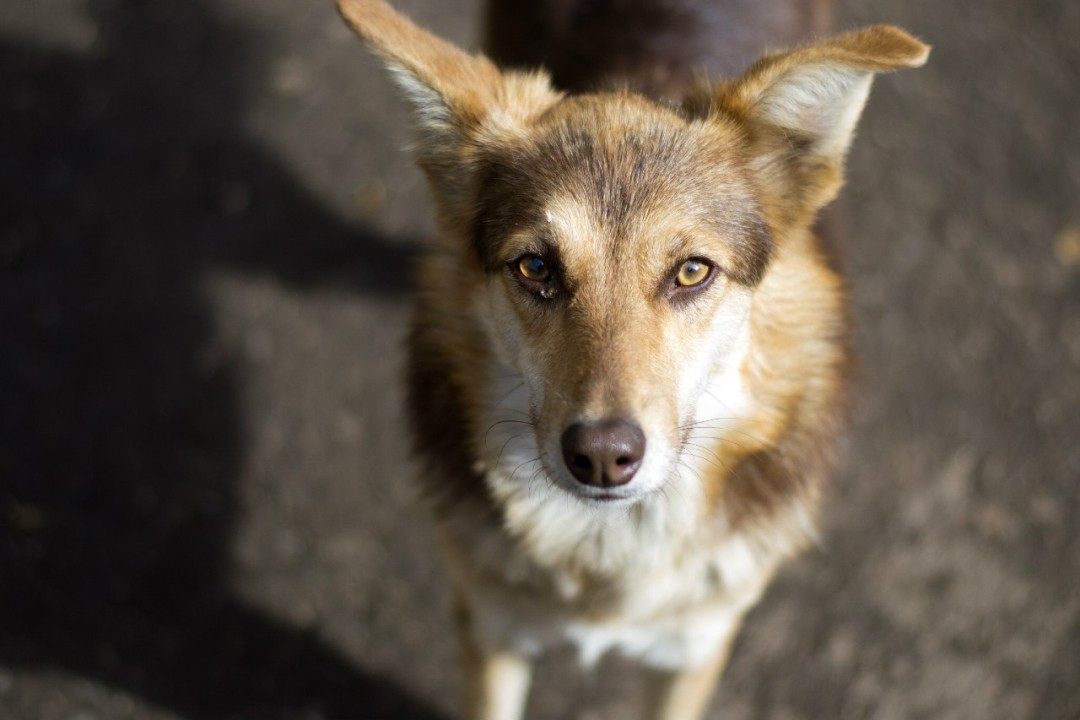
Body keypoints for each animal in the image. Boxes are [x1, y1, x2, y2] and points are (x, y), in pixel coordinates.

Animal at [334, 2, 928, 716]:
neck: (608, 552)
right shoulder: (487, 624)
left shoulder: (694, 648)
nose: (601, 455)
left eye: (692, 271)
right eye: (535, 268)